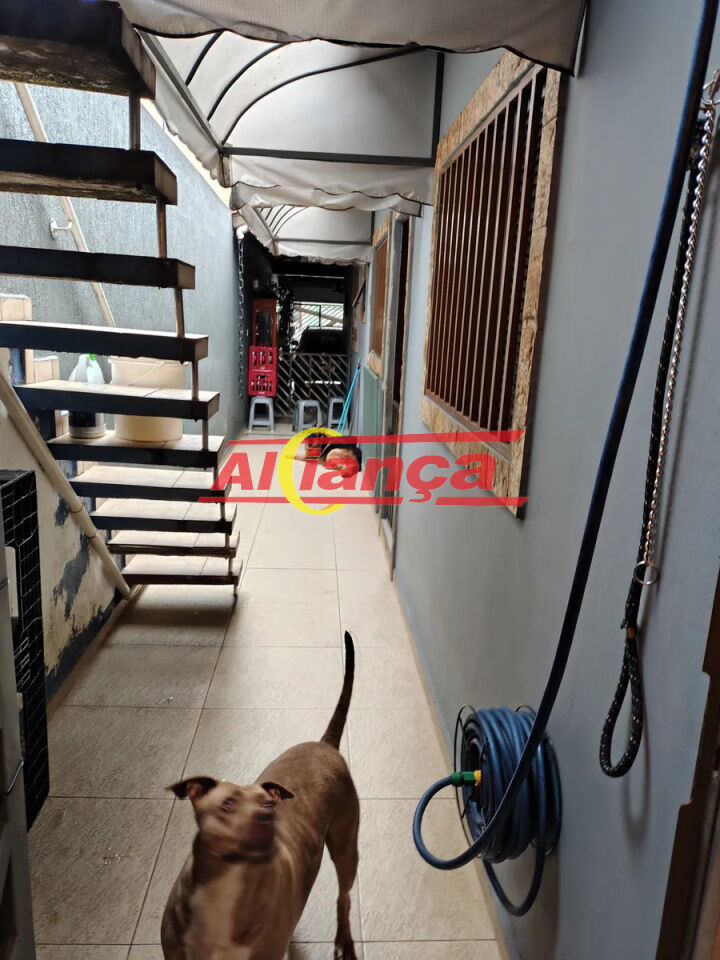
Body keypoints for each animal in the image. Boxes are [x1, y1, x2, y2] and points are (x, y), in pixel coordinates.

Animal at [161, 632, 359, 960]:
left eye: (269, 805)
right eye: (228, 803)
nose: (265, 817)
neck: (225, 887)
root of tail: (325, 744)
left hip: (346, 849)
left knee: (344, 897)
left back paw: (344, 939)